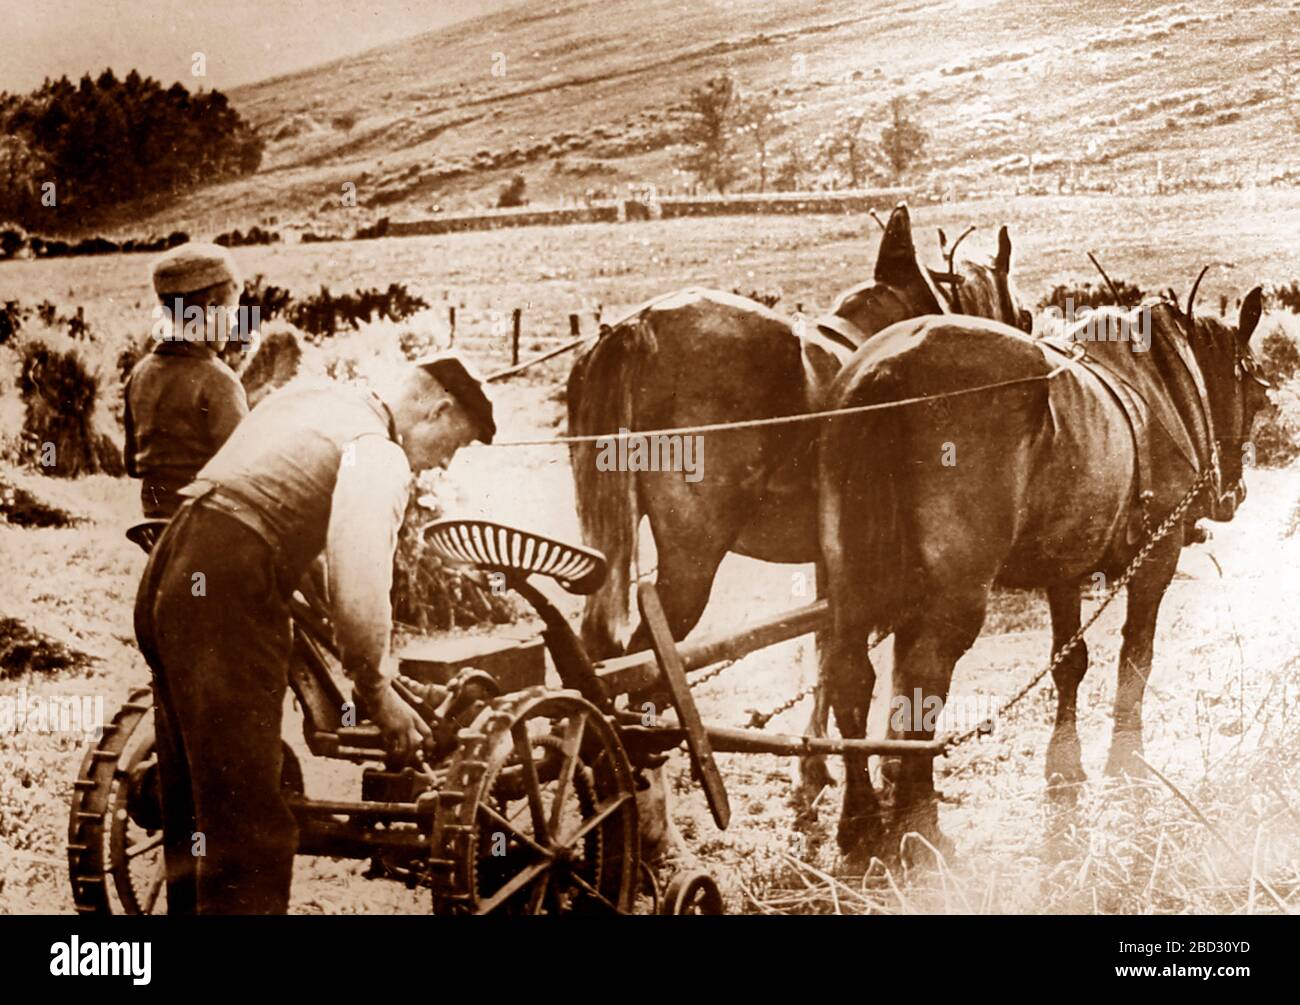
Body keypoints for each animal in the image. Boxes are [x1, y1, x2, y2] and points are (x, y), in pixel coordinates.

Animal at [816, 278, 1263, 858]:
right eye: (1257, 394)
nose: (1233, 493)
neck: (1162, 381)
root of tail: (885, 371)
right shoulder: (1156, 559)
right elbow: (1136, 658)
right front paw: (1126, 761)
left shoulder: (1065, 569)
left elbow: (1069, 664)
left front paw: (1064, 766)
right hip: (954, 596)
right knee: (923, 677)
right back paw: (920, 822)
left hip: (853, 582)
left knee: (849, 674)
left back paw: (861, 819)